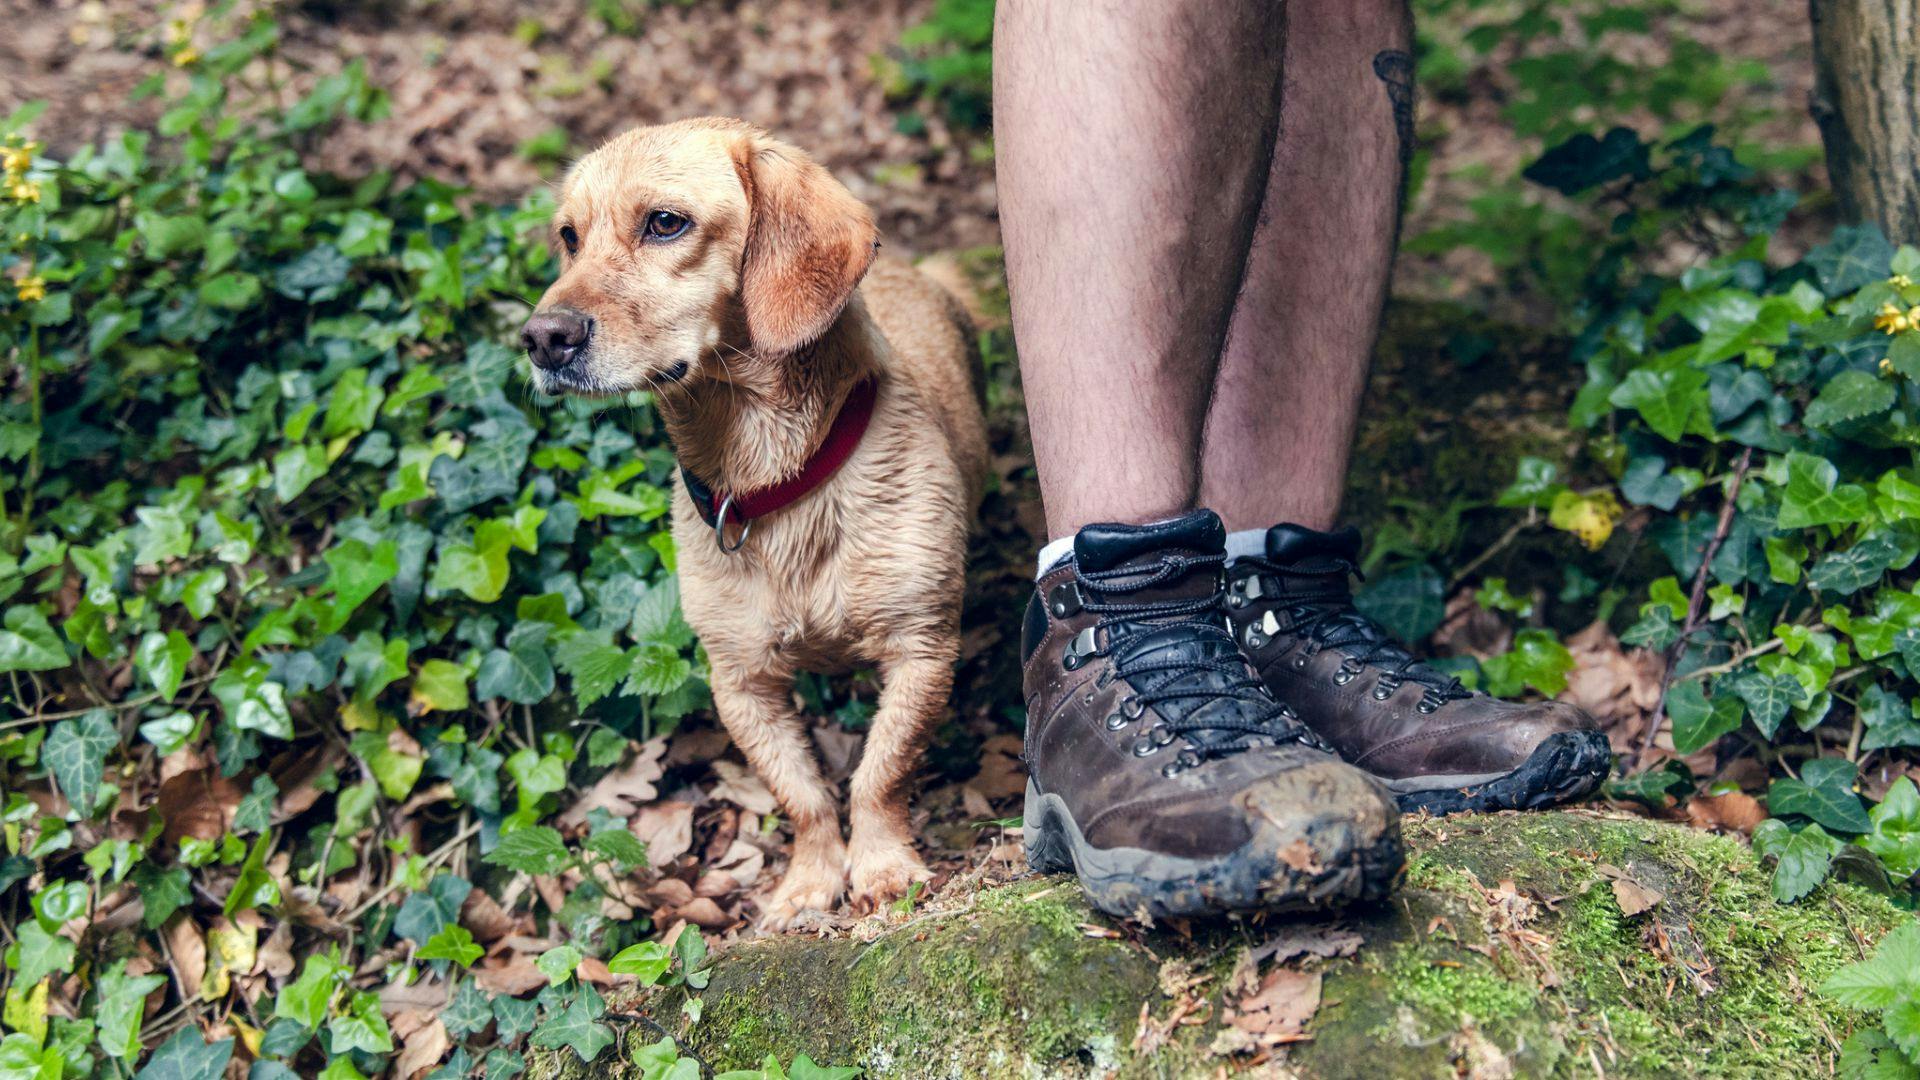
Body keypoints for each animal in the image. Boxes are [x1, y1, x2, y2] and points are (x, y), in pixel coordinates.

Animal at [518, 119, 983, 926]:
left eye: (665, 223)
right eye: (569, 237)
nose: (541, 338)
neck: (773, 476)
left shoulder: (921, 651)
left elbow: (879, 774)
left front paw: (884, 867)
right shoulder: (741, 684)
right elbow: (803, 796)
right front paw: (808, 885)